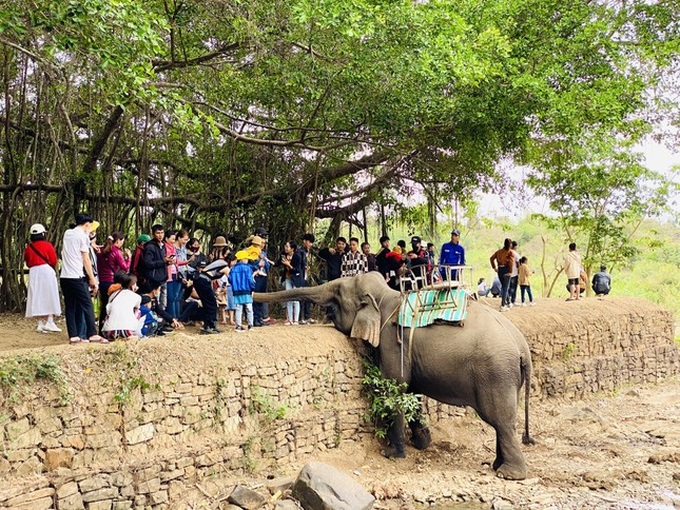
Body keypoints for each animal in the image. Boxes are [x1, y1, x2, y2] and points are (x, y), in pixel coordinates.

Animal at [254, 271, 533, 480]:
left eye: (338, 293)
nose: (251, 292)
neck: (385, 296)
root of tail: (523, 348)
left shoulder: (391, 340)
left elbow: (395, 387)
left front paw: (392, 454)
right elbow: (411, 392)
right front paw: (423, 443)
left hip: (496, 373)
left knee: (501, 421)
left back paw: (509, 474)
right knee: (502, 422)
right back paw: (497, 466)